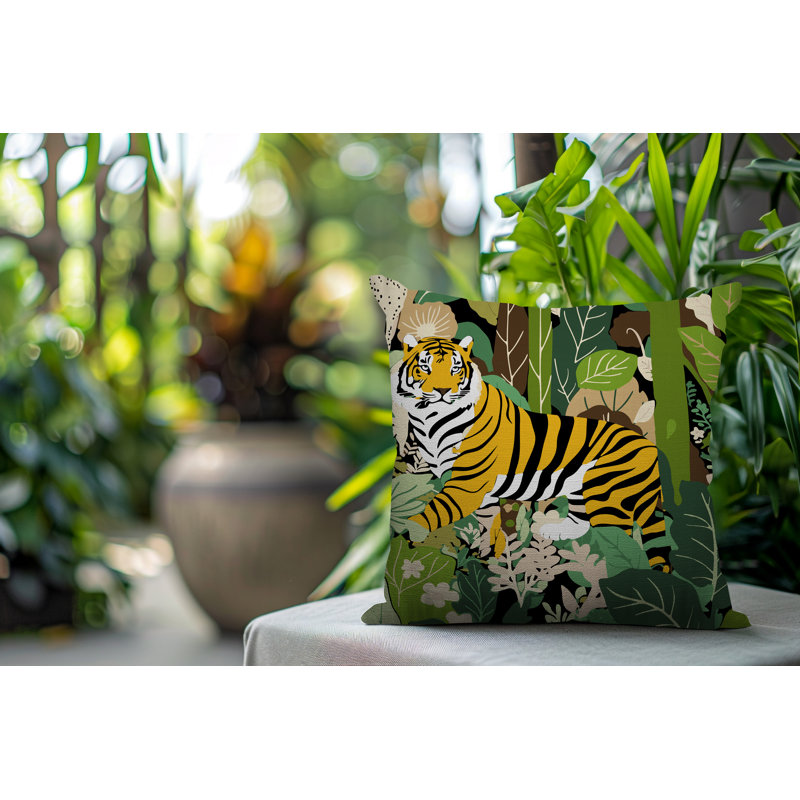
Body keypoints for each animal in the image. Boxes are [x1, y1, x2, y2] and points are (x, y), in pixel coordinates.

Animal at [394, 334, 671, 572]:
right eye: (425, 367)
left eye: (455, 369)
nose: (443, 391)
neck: (431, 419)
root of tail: (649, 447)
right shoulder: (481, 491)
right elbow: (489, 522)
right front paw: (492, 555)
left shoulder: (467, 483)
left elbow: (437, 509)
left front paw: (411, 531)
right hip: (581, 491)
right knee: (582, 521)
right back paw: (551, 531)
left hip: (606, 497)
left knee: (618, 538)